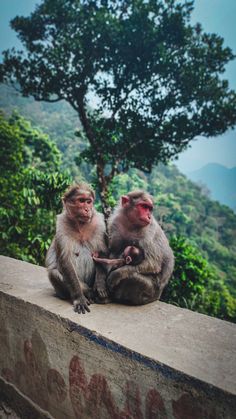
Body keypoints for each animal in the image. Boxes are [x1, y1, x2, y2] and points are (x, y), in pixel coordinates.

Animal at [45, 182, 108, 314]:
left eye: (89, 201)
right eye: (81, 201)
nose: (87, 209)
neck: (80, 224)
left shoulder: (98, 222)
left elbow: (102, 253)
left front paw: (100, 284)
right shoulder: (62, 224)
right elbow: (65, 261)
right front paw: (79, 298)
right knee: (53, 273)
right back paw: (87, 293)